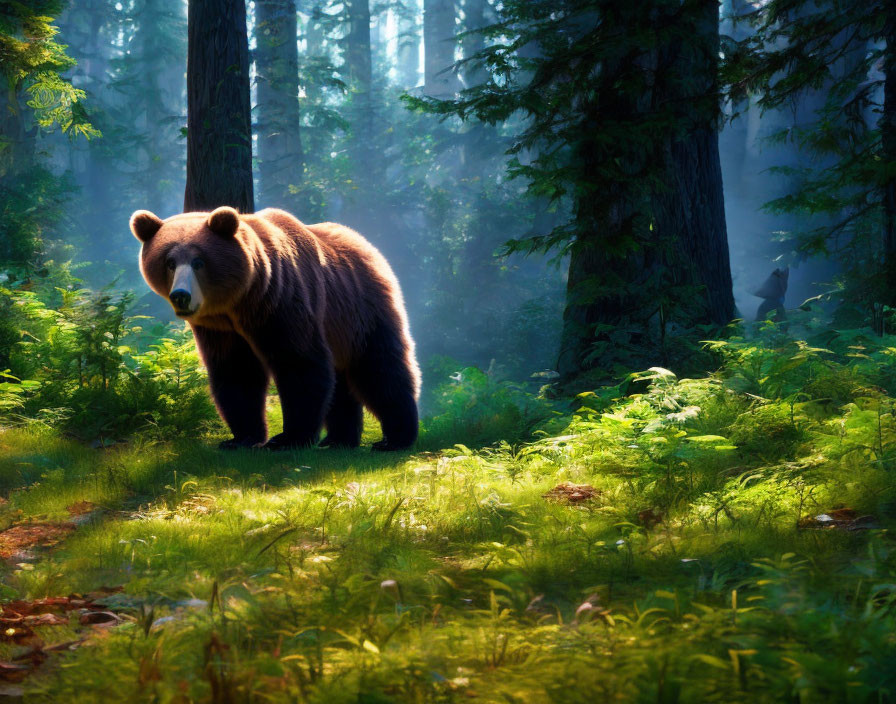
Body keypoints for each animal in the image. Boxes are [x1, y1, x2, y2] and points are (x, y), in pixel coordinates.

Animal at [130, 206, 420, 454]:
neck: (242, 302)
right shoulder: (221, 328)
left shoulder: (281, 304)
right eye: (169, 262)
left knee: (380, 368)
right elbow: (237, 372)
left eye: (199, 261)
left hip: (361, 310)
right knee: (342, 380)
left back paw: (395, 439)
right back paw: (338, 439)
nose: (181, 295)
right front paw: (240, 438)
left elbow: (299, 363)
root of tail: (367, 245)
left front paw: (288, 439)